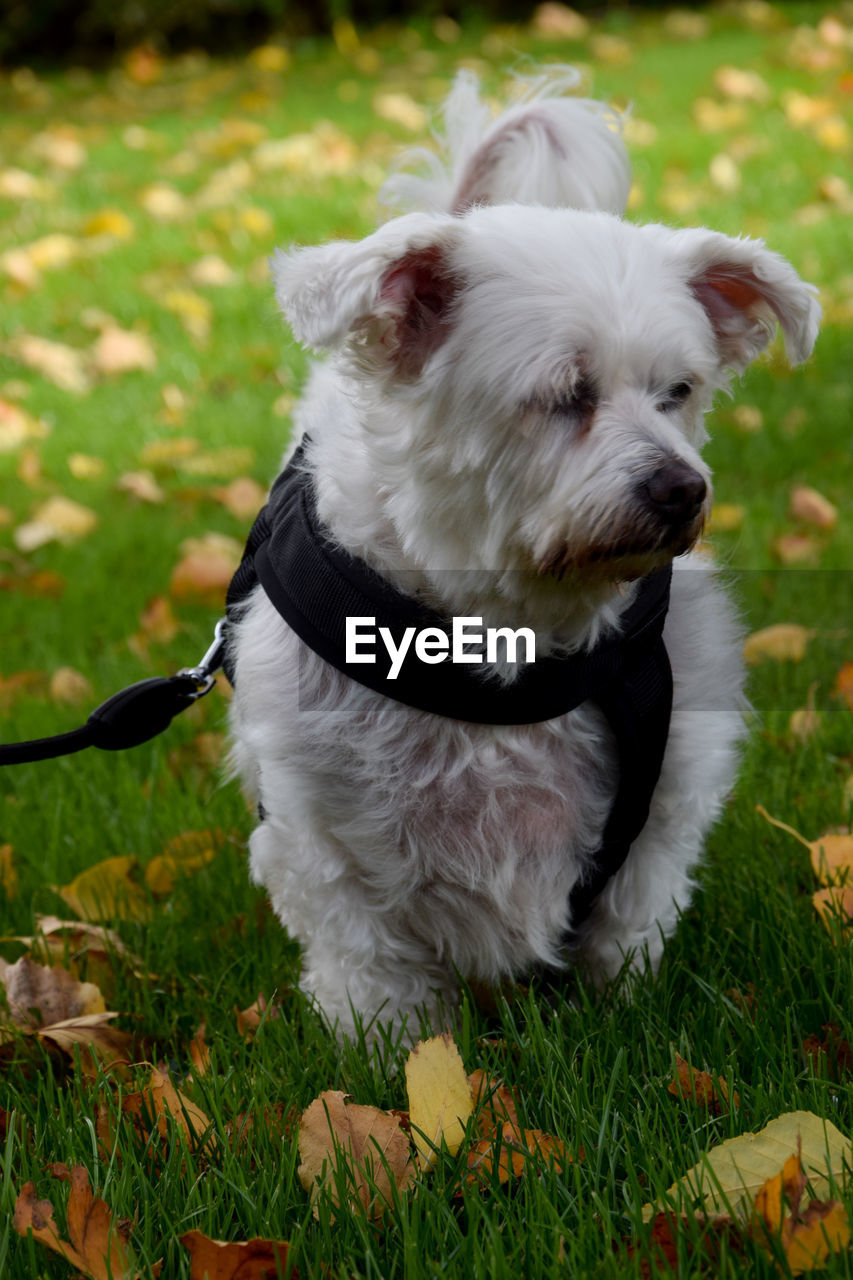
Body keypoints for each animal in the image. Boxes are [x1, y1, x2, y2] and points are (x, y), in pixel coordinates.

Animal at [225, 70, 819, 1034]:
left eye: (678, 391)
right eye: (564, 395)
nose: (681, 489)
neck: (513, 629)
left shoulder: (665, 796)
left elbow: (630, 918)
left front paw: (624, 1018)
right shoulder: (323, 835)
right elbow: (373, 972)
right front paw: (391, 1054)